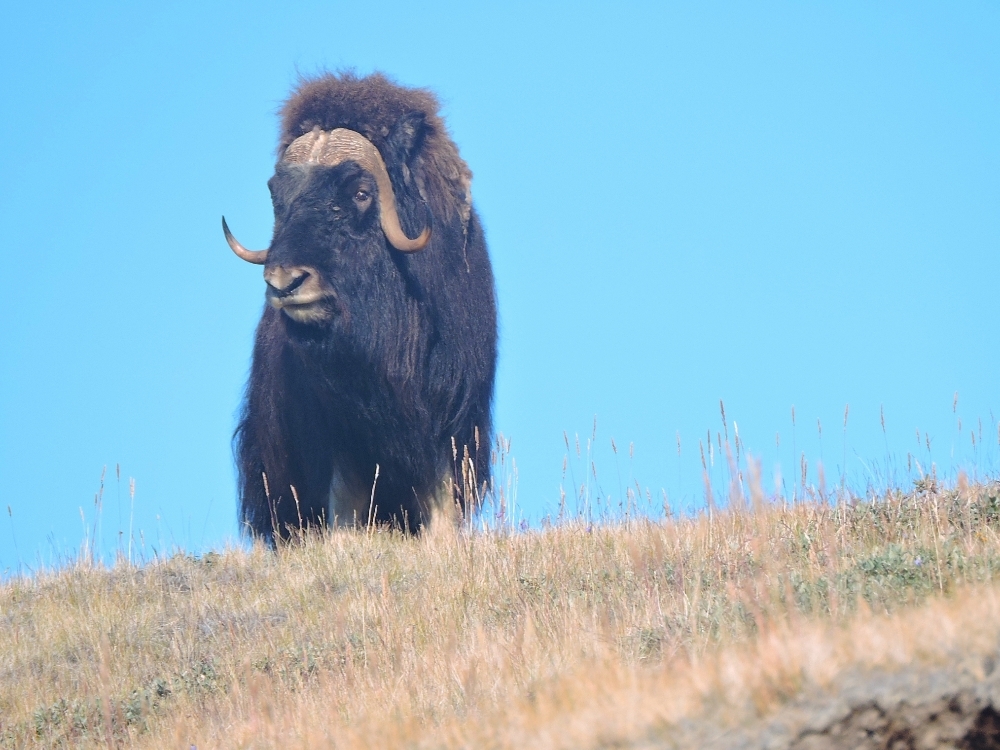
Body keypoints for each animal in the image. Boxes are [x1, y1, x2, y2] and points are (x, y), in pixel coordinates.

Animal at [223, 73, 496, 544]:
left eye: (361, 192)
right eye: (278, 198)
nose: (285, 281)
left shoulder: (451, 423)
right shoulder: (335, 438)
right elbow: (343, 502)